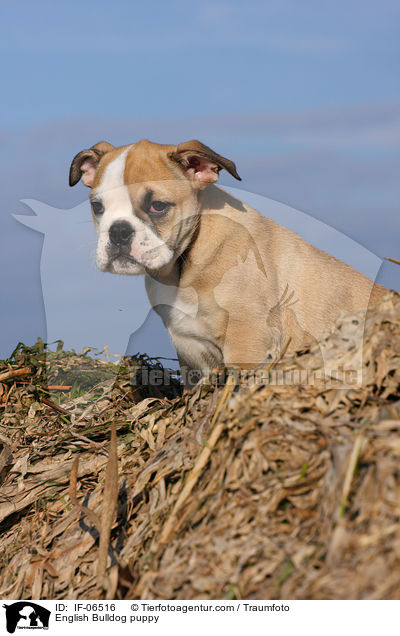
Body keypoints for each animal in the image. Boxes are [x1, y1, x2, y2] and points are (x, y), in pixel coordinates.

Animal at [69, 139, 388, 388]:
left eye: (157, 206)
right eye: (97, 207)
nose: (119, 231)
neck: (182, 265)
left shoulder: (246, 341)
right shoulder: (191, 353)